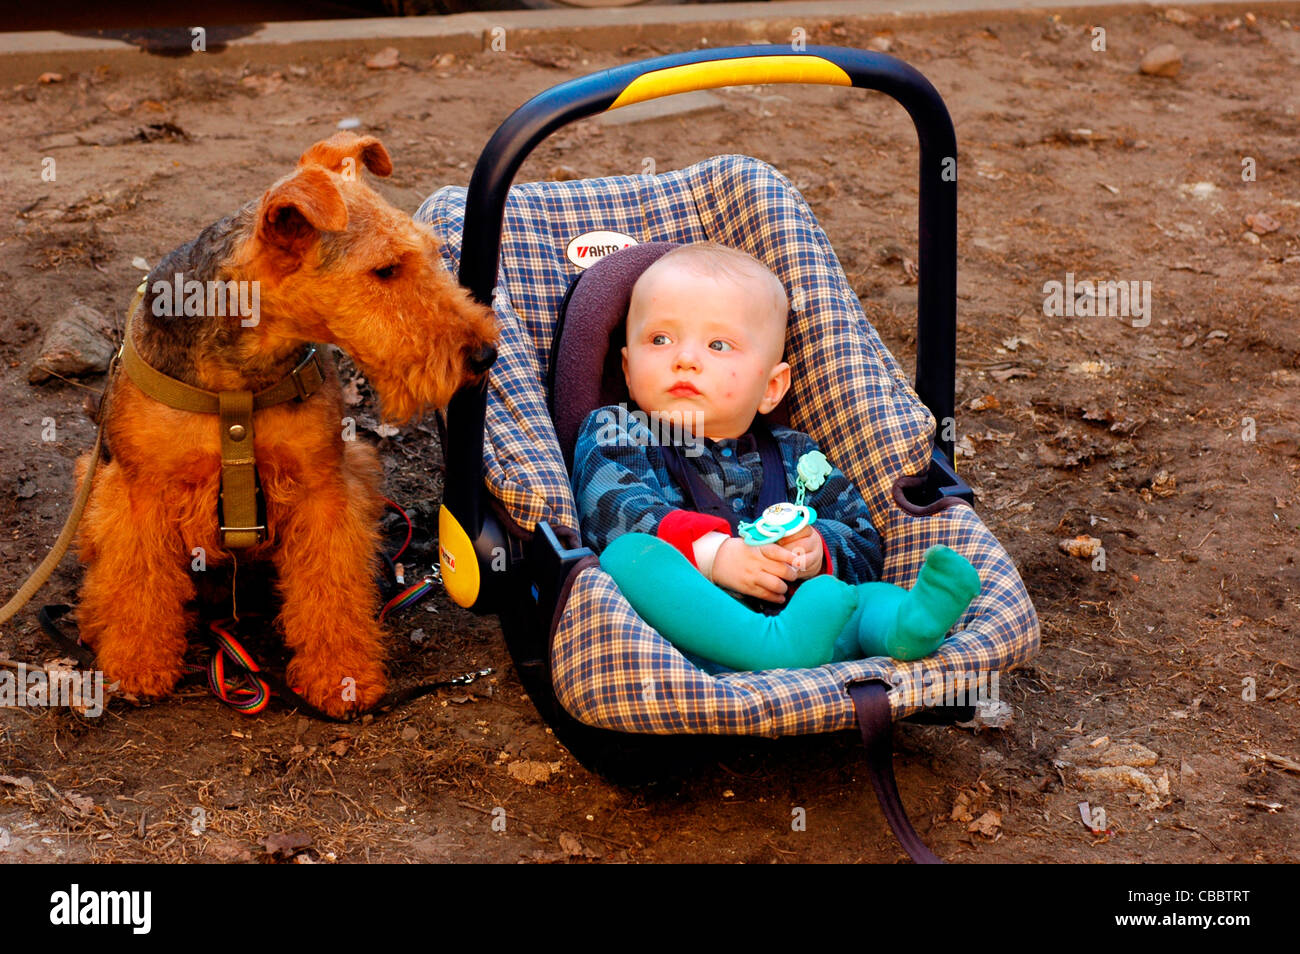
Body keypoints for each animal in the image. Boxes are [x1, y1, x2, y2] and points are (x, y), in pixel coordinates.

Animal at [72, 132, 496, 717]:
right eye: (385, 269)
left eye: (433, 254)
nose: (484, 354)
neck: (239, 378)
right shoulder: (141, 493)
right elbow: (137, 582)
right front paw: (138, 664)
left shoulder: (322, 488)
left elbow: (331, 588)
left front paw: (342, 677)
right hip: (92, 478)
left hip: (361, 462)